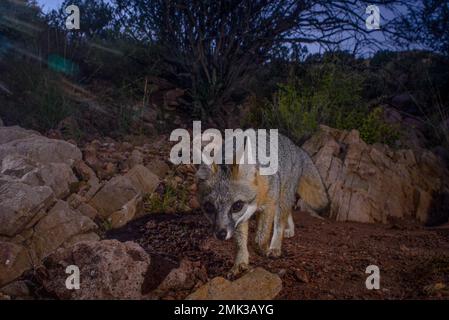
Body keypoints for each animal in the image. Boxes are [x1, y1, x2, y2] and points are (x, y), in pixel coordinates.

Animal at [194, 133, 328, 278]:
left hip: (282, 197)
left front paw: (264, 250)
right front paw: (240, 264)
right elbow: (240, 244)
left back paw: (275, 247)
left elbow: (259, 239)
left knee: (280, 222)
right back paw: (290, 230)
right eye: (209, 207)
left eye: (237, 206)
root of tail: (295, 147)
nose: (220, 234)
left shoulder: (269, 205)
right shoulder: (241, 219)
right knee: (288, 215)